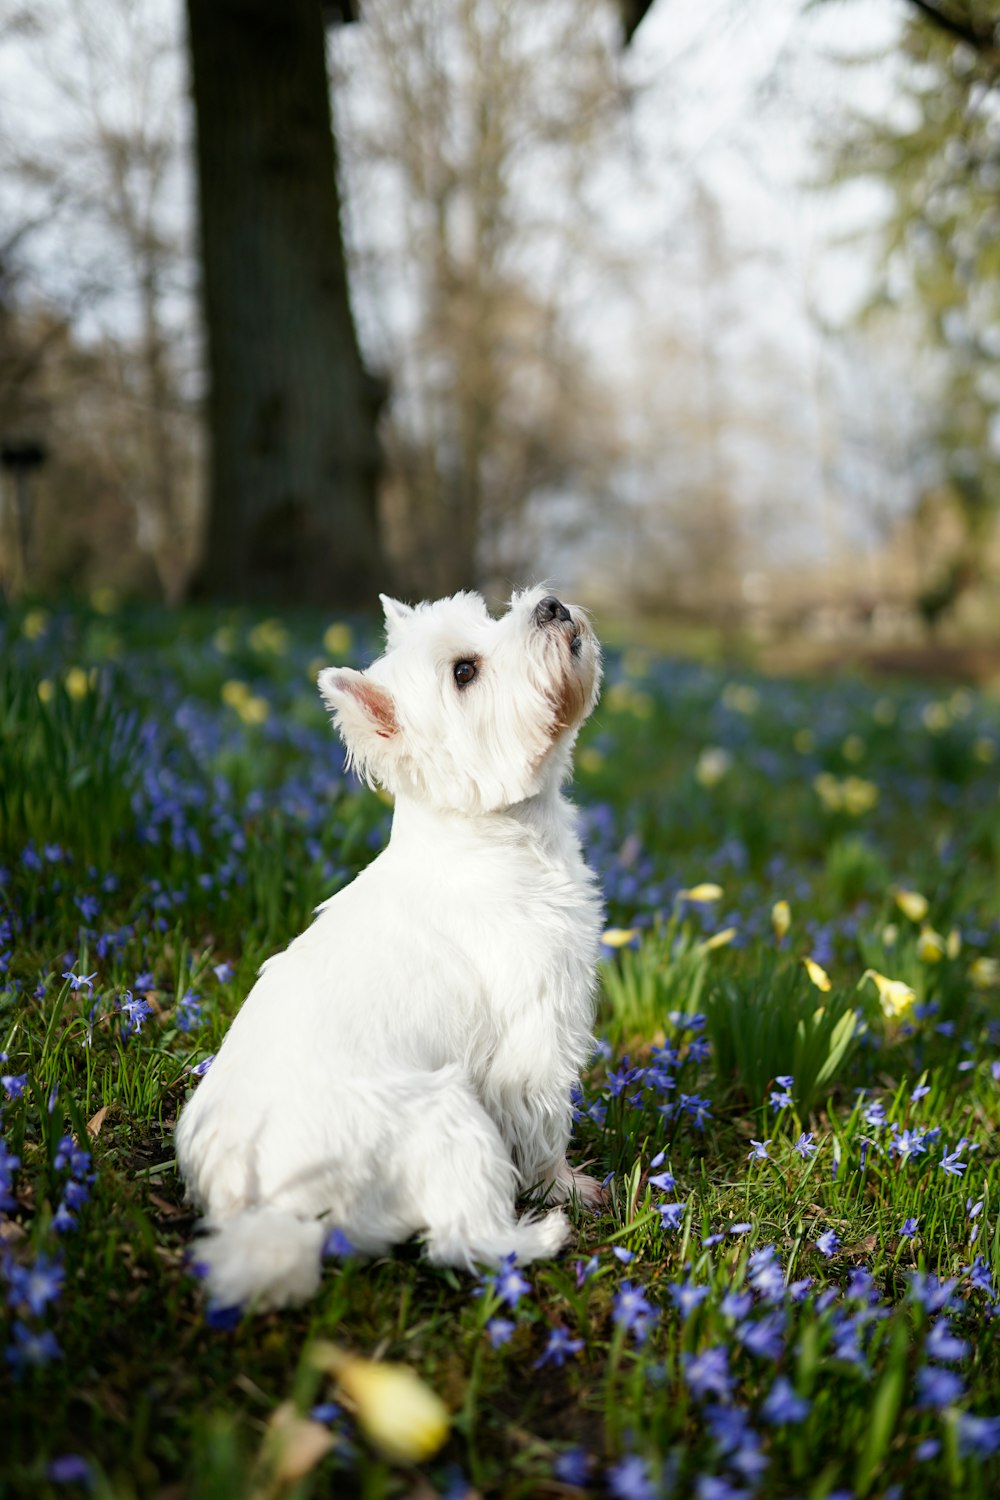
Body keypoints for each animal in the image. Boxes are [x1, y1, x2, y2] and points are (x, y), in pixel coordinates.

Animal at [173, 588, 602, 1314]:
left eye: (490, 614)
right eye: (464, 671)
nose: (549, 604)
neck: (498, 837)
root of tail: (267, 1206)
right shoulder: (534, 1036)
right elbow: (545, 1126)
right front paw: (565, 1186)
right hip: (448, 1116)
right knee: (460, 1237)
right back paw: (540, 1235)